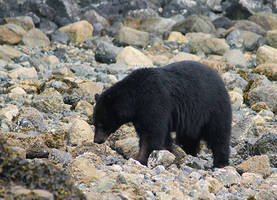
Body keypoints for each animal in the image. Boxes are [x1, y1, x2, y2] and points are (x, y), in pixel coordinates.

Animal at [92, 61, 231, 167]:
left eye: (101, 123)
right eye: (94, 122)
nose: (96, 140)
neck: (136, 98)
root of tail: (219, 78)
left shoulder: (155, 103)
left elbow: (151, 134)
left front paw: (141, 159)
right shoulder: (141, 115)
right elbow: (161, 136)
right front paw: (167, 152)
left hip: (213, 107)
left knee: (218, 134)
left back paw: (220, 162)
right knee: (189, 137)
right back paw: (190, 152)